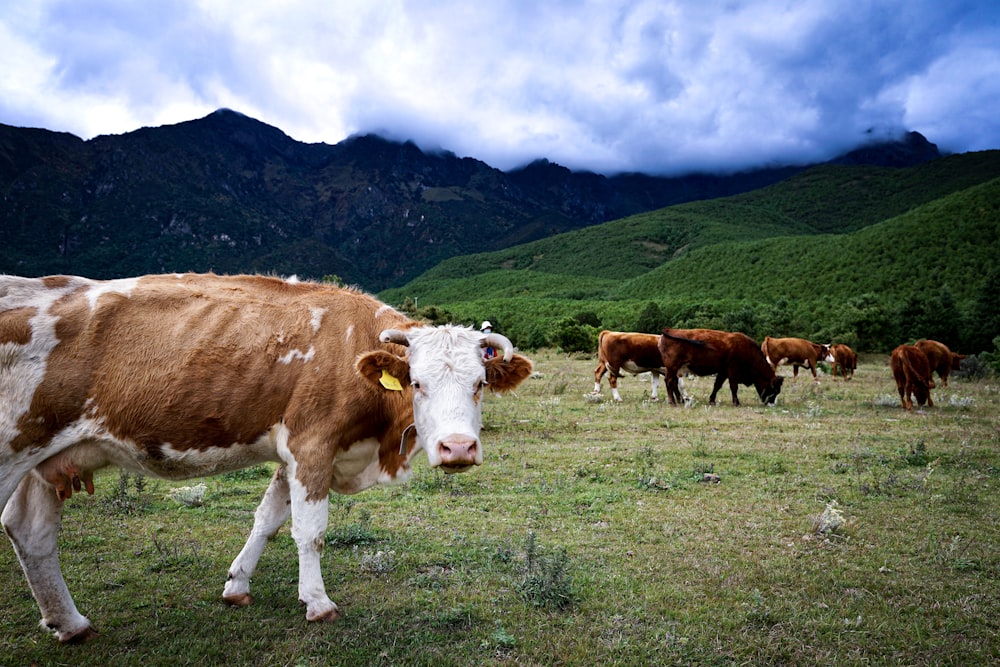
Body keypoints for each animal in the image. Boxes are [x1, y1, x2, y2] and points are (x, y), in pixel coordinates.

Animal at [1, 274, 540, 644]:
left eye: (480, 383)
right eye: (417, 383)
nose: (458, 448)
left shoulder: (294, 455)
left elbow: (268, 517)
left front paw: (237, 585)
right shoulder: (312, 443)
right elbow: (310, 530)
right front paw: (318, 602)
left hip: (46, 455)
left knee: (30, 531)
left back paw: (70, 624)